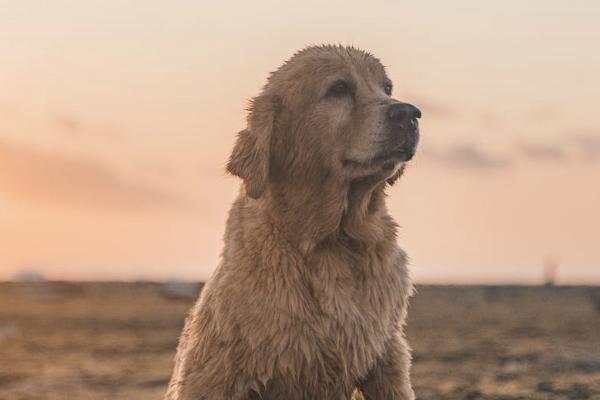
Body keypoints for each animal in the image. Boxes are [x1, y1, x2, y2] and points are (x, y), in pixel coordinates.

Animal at [163, 44, 418, 400]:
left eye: (387, 88)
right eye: (339, 88)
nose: (410, 113)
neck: (333, 241)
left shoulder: (386, 352)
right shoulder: (218, 368)